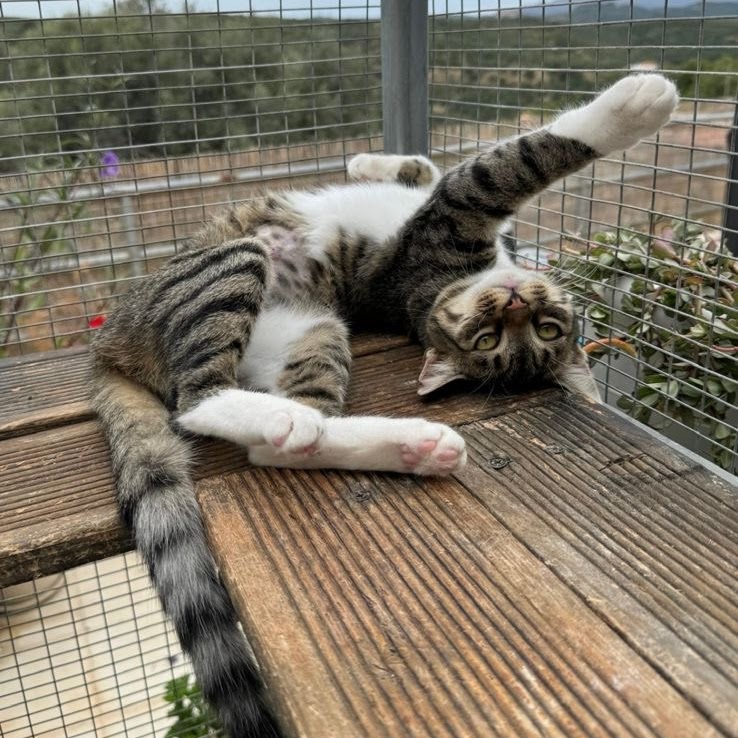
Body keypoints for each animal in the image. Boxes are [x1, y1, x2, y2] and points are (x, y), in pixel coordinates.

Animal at [89, 74, 678, 737]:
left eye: (541, 331)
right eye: (493, 339)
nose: (514, 302)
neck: (449, 288)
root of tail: (109, 344)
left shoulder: (451, 216)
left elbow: (510, 161)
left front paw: (630, 108)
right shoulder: (443, 219)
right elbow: (435, 166)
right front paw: (372, 162)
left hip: (285, 307)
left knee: (232, 419)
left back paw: (389, 441)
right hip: (265, 290)